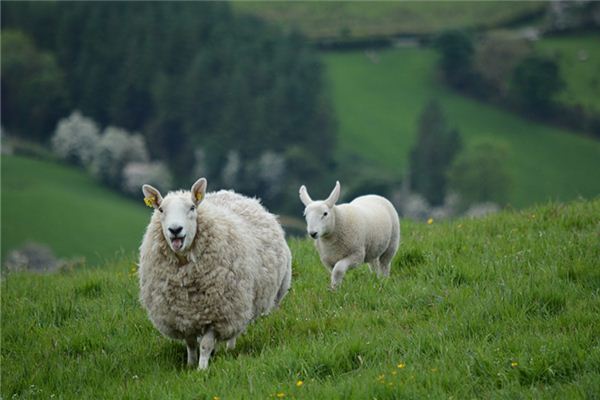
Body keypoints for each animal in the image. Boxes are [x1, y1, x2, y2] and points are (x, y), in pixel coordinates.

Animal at [139, 177, 292, 370]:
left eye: (192, 208)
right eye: (161, 209)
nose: (175, 230)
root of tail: (233, 194)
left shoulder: (218, 313)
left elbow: (205, 344)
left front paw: (202, 369)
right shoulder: (182, 316)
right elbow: (191, 343)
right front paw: (190, 365)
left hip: (246, 300)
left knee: (236, 328)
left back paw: (229, 349)